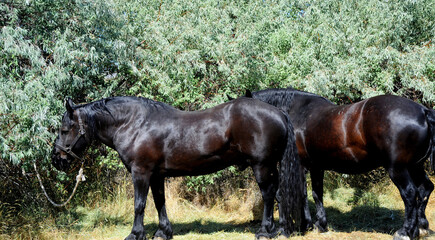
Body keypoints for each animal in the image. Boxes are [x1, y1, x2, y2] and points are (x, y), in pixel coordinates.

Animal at [51, 96, 304, 240]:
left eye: (64, 129)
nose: (56, 159)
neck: (135, 124)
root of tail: (279, 112)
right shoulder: (156, 175)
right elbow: (159, 202)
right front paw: (163, 232)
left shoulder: (141, 172)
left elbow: (139, 204)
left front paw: (135, 234)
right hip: (271, 166)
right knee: (279, 194)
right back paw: (280, 230)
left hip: (262, 165)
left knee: (268, 195)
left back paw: (264, 231)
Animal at [247, 88, 434, 240]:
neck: (298, 111)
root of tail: (422, 111)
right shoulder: (316, 167)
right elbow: (317, 194)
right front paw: (320, 224)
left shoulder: (300, 165)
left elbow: (302, 194)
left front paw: (304, 225)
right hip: (415, 166)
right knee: (425, 188)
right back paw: (421, 228)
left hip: (398, 168)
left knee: (410, 193)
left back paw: (405, 232)